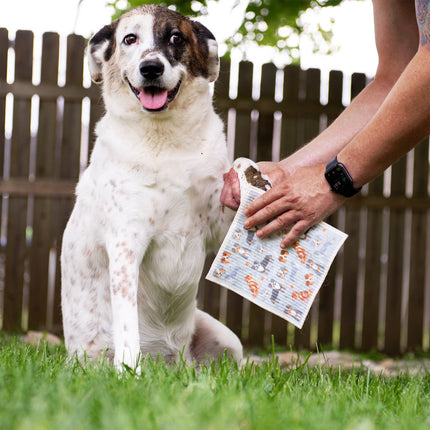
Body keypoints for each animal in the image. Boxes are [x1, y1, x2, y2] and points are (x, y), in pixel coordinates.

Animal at [61, 4, 244, 370]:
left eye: (176, 38)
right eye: (129, 39)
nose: (150, 67)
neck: (167, 141)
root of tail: (175, 362)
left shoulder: (216, 227)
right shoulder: (125, 245)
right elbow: (127, 327)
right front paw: (129, 373)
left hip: (228, 340)